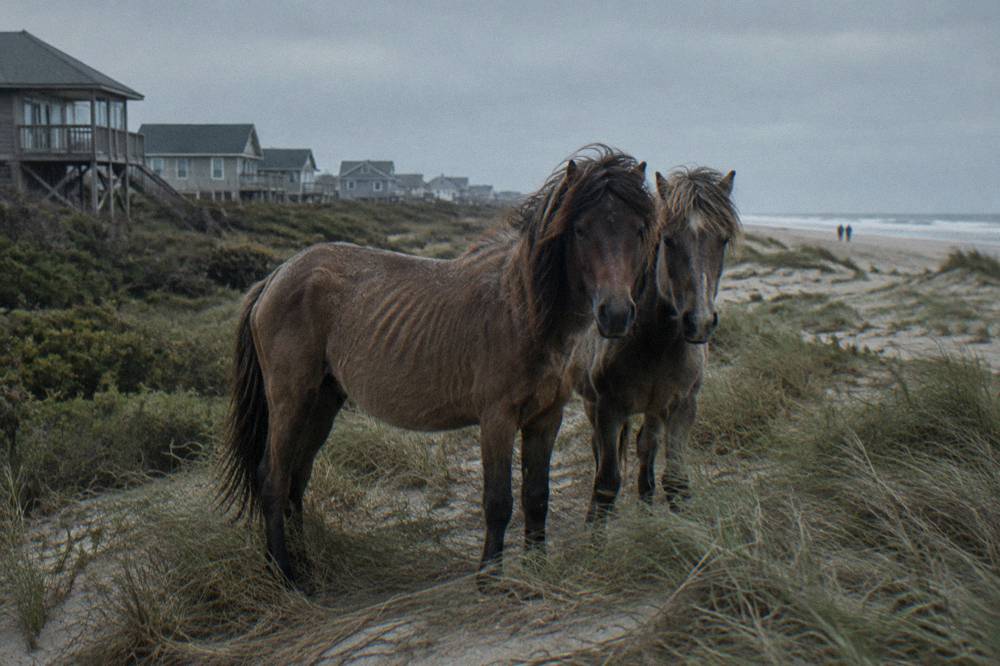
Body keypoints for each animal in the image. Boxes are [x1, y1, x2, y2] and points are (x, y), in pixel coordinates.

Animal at [218, 146, 655, 587]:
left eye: (638, 230)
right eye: (580, 229)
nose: (616, 314)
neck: (521, 310)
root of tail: (275, 277)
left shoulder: (546, 419)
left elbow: (536, 497)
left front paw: (536, 569)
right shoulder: (496, 420)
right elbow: (498, 501)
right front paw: (489, 578)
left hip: (322, 402)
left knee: (296, 479)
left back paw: (305, 567)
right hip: (291, 400)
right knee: (273, 478)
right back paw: (285, 574)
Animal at [568, 167, 740, 521]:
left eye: (723, 239)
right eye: (669, 240)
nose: (700, 322)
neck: (655, 342)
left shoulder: (682, 405)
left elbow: (675, 480)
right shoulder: (608, 408)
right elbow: (605, 485)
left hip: (655, 408)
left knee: (646, 445)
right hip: (594, 405)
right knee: (601, 450)